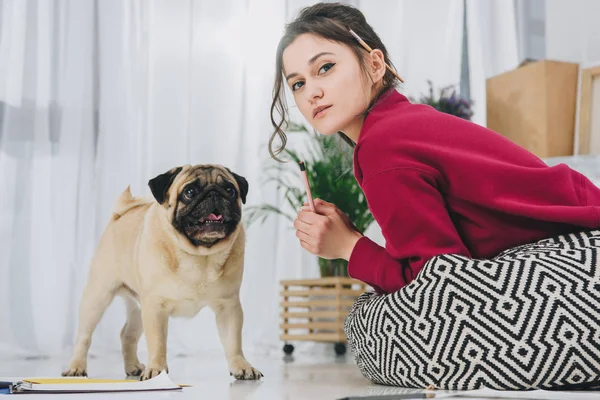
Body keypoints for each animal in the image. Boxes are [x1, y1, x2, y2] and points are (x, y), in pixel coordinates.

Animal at [62, 163, 262, 382]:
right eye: (189, 192)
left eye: (230, 190)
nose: (214, 194)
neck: (200, 255)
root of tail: (119, 216)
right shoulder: (155, 307)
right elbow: (157, 342)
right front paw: (157, 370)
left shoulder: (228, 307)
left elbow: (233, 341)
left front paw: (241, 366)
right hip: (98, 297)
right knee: (84, 337)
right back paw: (76, 368)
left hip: (139, 309)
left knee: (127, 335)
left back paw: (133, 367)